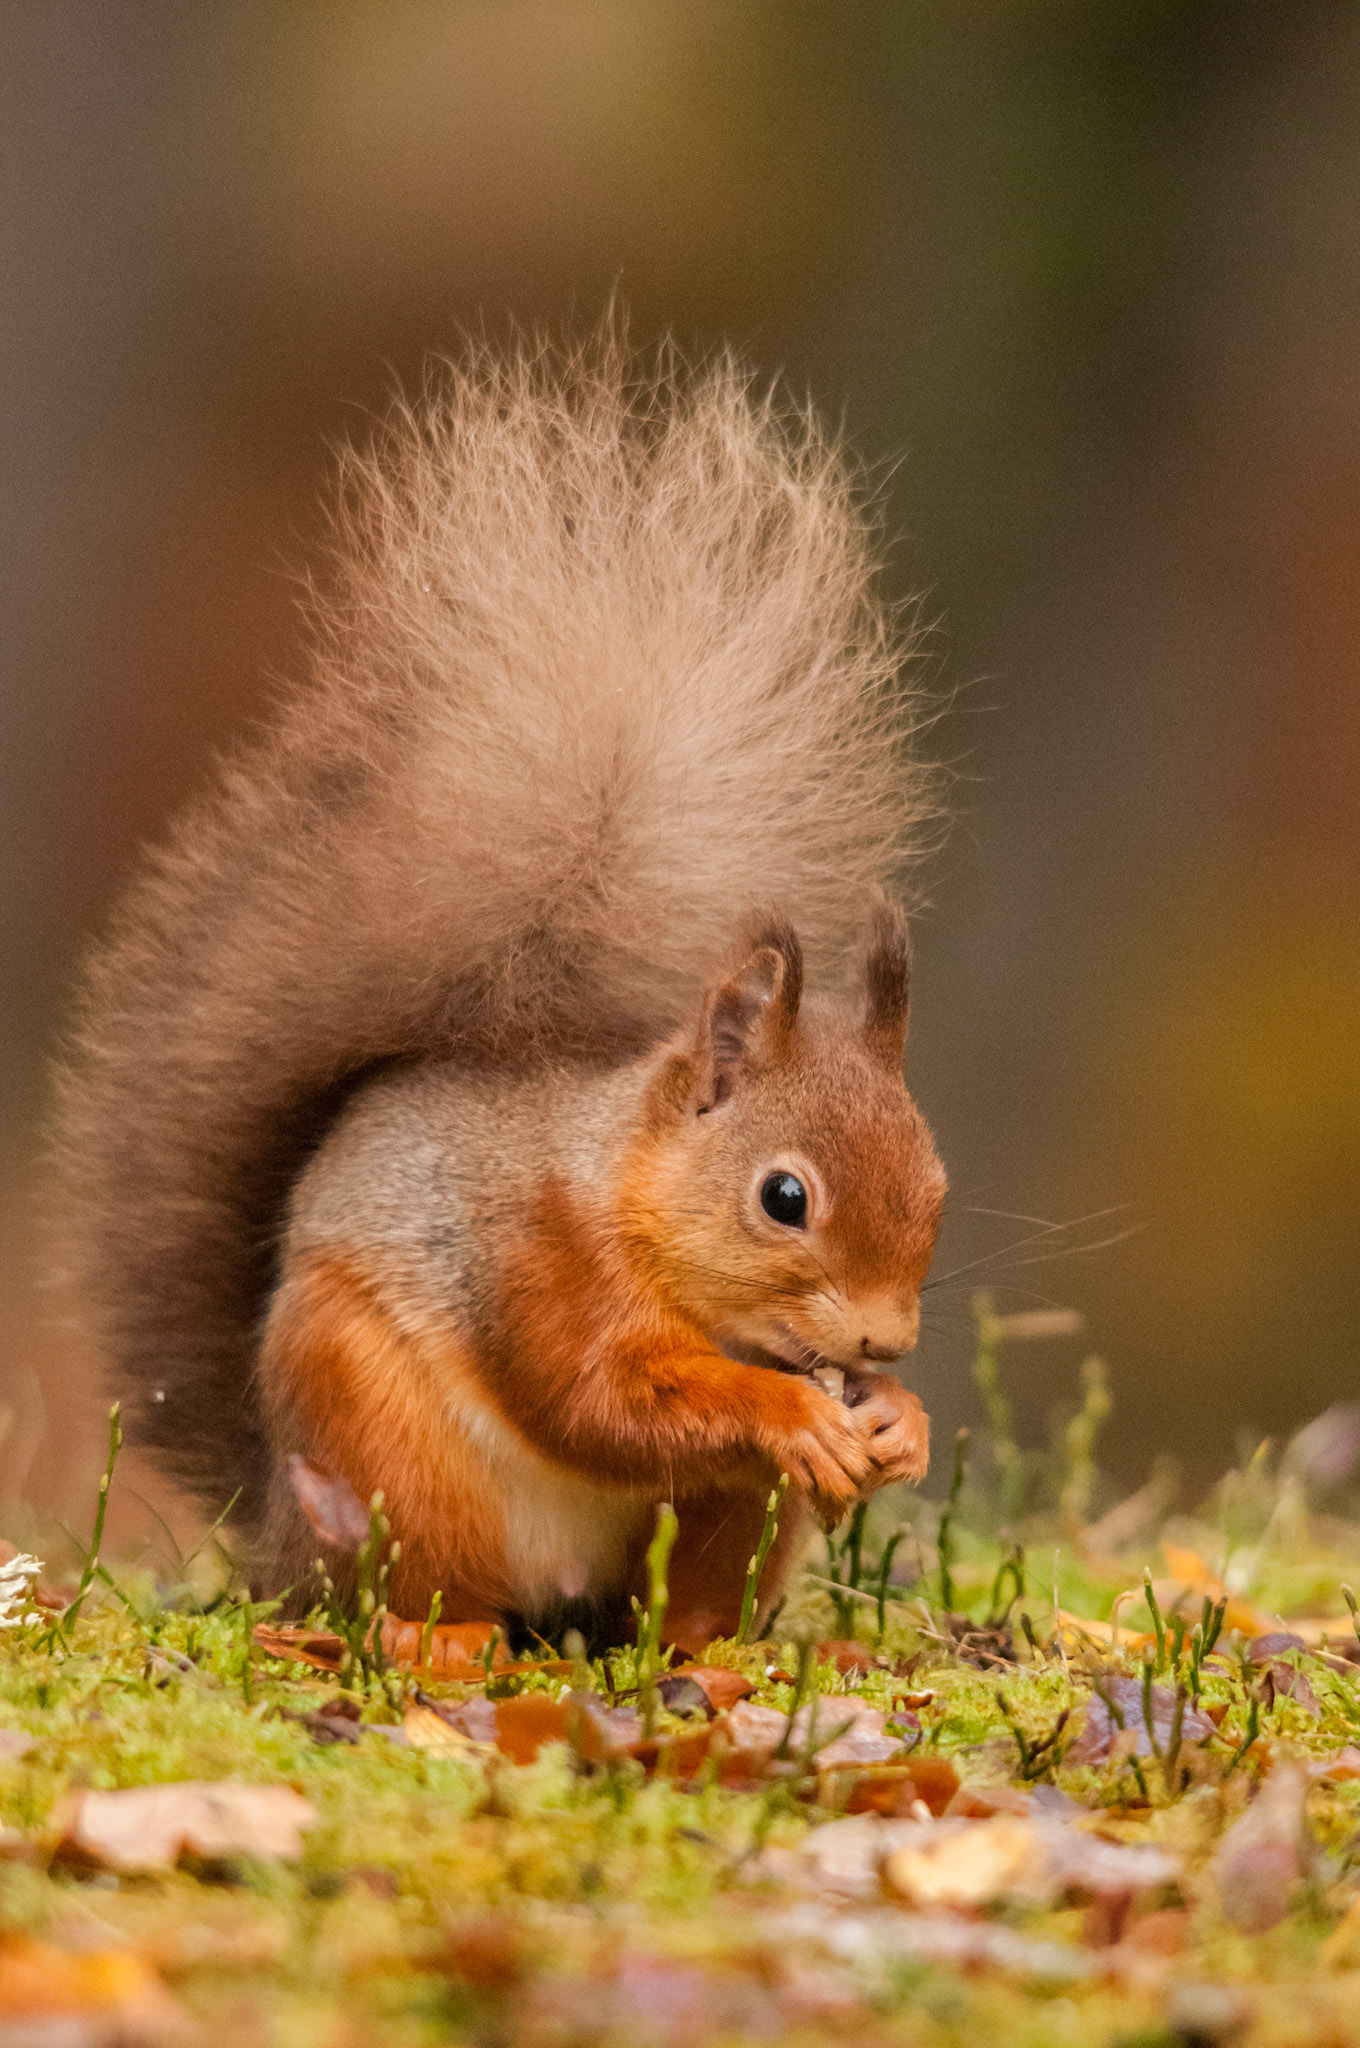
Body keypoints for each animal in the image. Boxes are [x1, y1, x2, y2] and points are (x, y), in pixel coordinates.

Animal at [54, 332, 947, 1653]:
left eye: (938, 1185)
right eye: (782, 1197)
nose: (885, 1339)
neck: (621, 1183)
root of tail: (268, 1525)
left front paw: (898, 1422)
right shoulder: (530, 1259)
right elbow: (598, 1398)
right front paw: (790, 1412)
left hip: (713, 1528)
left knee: (678, 1612)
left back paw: (725, 1651)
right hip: (383, 1439)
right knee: (415, 1584)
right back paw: (437, 1640)